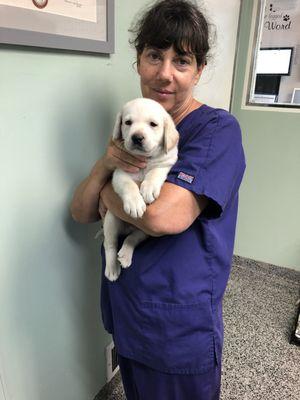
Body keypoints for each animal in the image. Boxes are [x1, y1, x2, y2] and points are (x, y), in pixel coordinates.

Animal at [103, 98, 178, 282]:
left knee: (133, 238)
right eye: (128, 122)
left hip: (146, 231)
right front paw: (135, 204)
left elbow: (155, 173)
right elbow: (129, 186)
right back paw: (112, 268)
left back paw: (125, 254)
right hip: (111, 219)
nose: (137, 137)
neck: (144, 159)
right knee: (110, 244)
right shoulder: (120, 173)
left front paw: (149, 189)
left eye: (153, 124)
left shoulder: (166, 163)